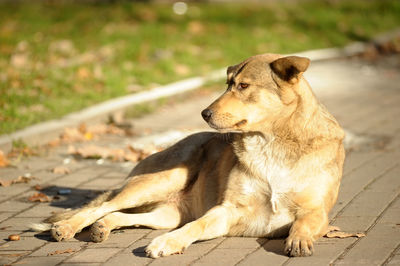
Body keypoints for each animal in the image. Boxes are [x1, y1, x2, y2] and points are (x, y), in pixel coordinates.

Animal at [32, 54, 346, 258]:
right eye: (227, 84)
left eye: (243, 86)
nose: (204, 113)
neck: (270, 143)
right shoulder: (226, 210)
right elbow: (198, 225)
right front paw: (166, 244)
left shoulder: (317, 211)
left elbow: (304, 223)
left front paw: (299, 240)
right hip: (161, 181)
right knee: (100, 207)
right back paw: (67, 227)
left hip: (166, 214)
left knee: (116, 213)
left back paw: (101, 228)